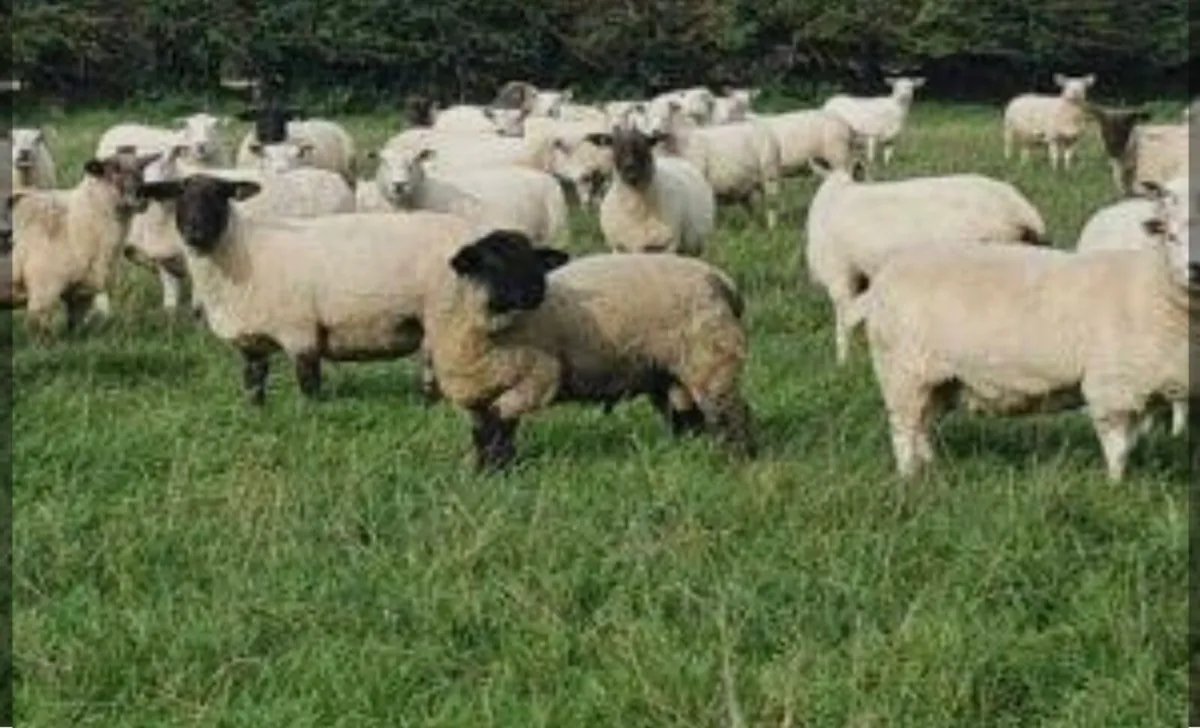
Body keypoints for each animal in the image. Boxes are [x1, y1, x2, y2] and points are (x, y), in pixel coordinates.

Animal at [5, 153, 160, 337]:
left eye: (141, 170)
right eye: (114, 170)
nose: (142, 196)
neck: (76, 220)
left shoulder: (80, 294)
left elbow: (76, 330)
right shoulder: (43, 291)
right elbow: (40, 333)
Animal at [137, 174, 476, 404]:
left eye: (221, 196)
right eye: (179, 197)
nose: (195, 233)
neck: (245, 254)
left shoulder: (299, 331)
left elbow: (309, 383)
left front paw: (310, 417)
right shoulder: (251, 343)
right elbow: (253, 382)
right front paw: (255, 412)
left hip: (448, 313)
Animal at [424, 229, 755, 471]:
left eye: (534, 261)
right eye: (492, 264)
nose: (536, 291)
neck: (487, 333)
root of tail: (722, 282)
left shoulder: (539, 377)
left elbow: (499, 420)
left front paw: (497, 467)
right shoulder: (475, 397)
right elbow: (488, 432)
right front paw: (491, 470)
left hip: (711, 358)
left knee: (731, 412)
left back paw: (734, 459)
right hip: (670, 371)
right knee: (687, 415)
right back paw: (690, 452)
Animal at [852, 183, 1194, 482]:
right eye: (1171, 236)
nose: (1195, 269)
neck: (1152, 286)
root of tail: (883, 278)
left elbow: (1133, 443)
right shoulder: (1113, 387)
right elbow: (1118, 449)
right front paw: (1115, 487)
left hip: (938, 379)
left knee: (922, 424)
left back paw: (930, 469)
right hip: (902, 369)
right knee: (903, 429)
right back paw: (908, 478)